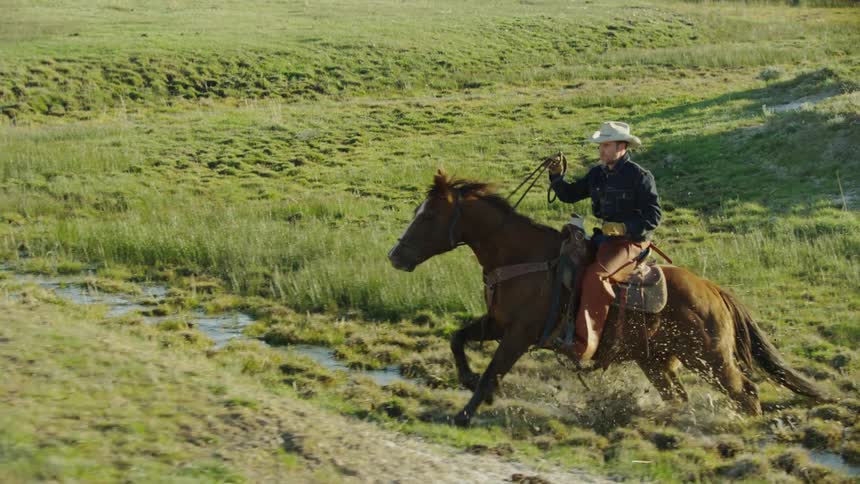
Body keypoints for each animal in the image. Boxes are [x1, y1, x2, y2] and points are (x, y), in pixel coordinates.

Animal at [388, 170, 827, 427]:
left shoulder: (519, 334)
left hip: (710, 359)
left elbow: (493, 370)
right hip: (657, 361)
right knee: (679, 396)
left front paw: (464, 412)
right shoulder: (497, 323)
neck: (522, 258)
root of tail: (713, 291)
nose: (395, 256)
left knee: (746, 393)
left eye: (429, 216)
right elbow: (457, 339)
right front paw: (466, 379)